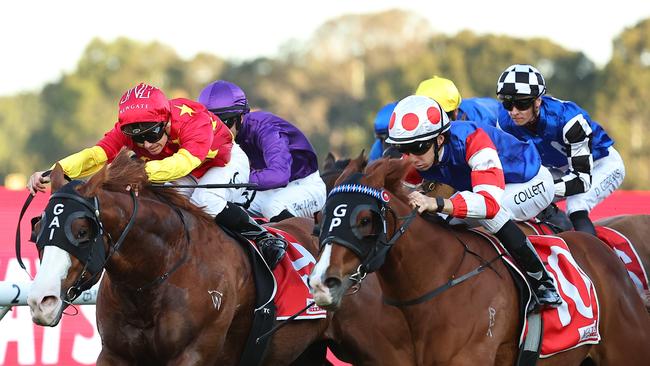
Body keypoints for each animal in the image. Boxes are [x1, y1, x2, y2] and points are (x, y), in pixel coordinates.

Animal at [25, 149, 410, 366]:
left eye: (81, 230)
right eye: (39, 227)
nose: (41, 301)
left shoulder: (193, 354)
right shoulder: (115, 354)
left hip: (381, 347)